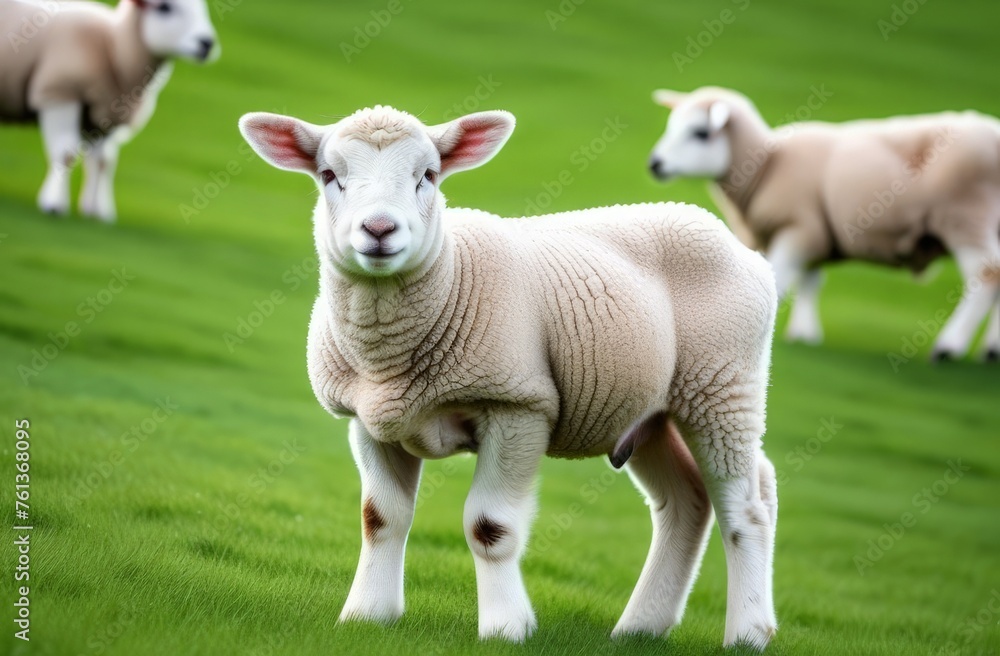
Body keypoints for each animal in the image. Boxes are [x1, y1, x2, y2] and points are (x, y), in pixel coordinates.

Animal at [0, 0, 219, 222]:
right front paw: (54, 204)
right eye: (165, 8)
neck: (113, 46)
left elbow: (104, 162)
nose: (207, 43)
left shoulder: (106, 115)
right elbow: (66, 152)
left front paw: (98, 211)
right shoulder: (59, 94)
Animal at [238, 105, 780, 649]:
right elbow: (381, 519)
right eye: (330, 175)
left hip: (723, 383)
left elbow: (489, 527)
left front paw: (505, 628)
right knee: (687, 501)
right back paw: (640, 628)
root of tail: (727, 237)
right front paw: (367, 616)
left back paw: (748, 633)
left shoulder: (518, 407)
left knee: (747, 506)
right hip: (650, 410)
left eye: (427, 175)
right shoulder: (370, 420)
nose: (379, 228)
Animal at [648, 86, 1000, 362]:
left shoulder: (798, 229)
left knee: (986, 275)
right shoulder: (816, 233)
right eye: (671, 126)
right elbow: (811, 282)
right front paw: (805, 335)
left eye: (701, 133)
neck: (766, 165)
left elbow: (780, 280)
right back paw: (991, 351)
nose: (655, 164)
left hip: (967, 217)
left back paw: (949, 347)